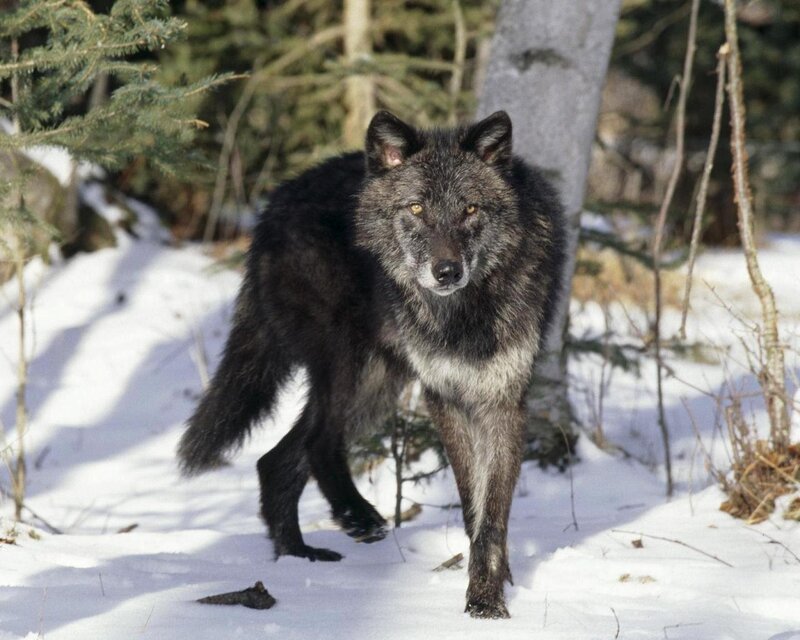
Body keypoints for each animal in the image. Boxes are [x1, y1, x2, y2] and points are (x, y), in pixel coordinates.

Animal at [177, 110, 565, 618]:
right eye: (417, 209)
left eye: (470, 210)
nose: (446, 272)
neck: (463, 315)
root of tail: (273, 205)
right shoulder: (443, 398)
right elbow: (471, 504)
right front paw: (484, 598)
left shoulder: (503, 401)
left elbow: (492, 515)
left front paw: (491, 595)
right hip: (349, 365)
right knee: (318, 442)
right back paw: (356, 518)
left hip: (377, 387)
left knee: (276, 458)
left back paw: (297, 558)